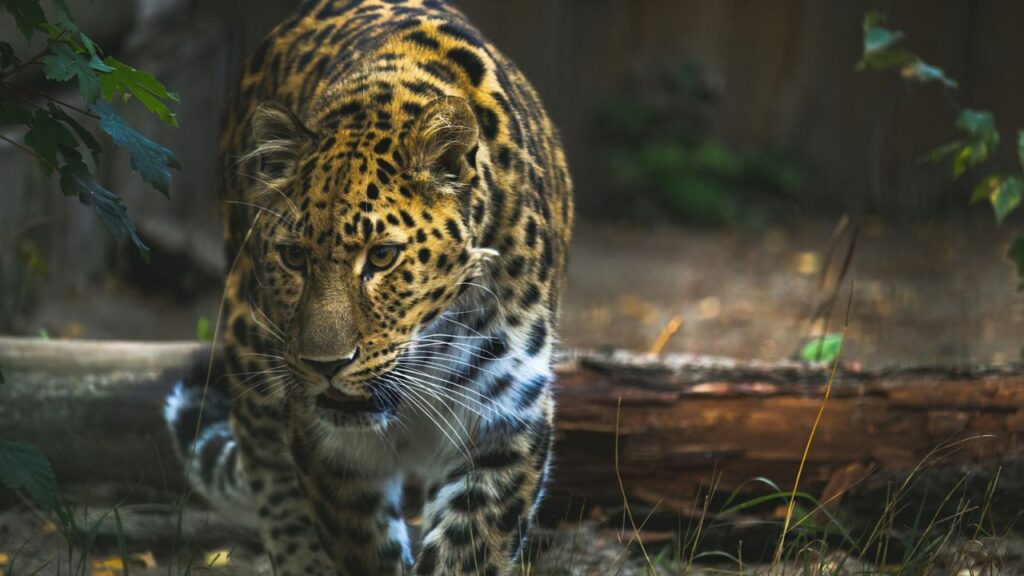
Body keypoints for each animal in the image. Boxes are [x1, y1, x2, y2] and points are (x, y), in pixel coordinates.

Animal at [163, 0, 573, 574]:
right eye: (294, 256)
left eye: (382, 257)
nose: (325, 365)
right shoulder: (328, 447)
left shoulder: (506, 418)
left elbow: (467, 551)